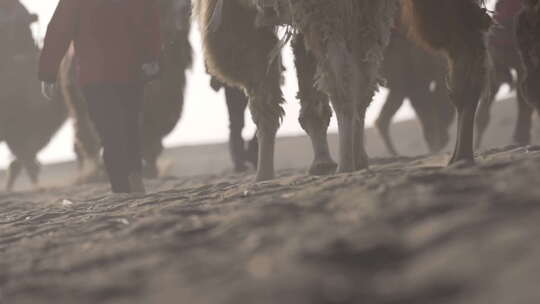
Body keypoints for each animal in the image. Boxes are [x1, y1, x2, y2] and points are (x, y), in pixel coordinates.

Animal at [195, 0, 494, 180]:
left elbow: (263, 90)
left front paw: (264, 176)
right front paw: (325, 163)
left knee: (343, 78)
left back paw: (345, 164)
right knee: (466, 48)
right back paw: (460, 156)